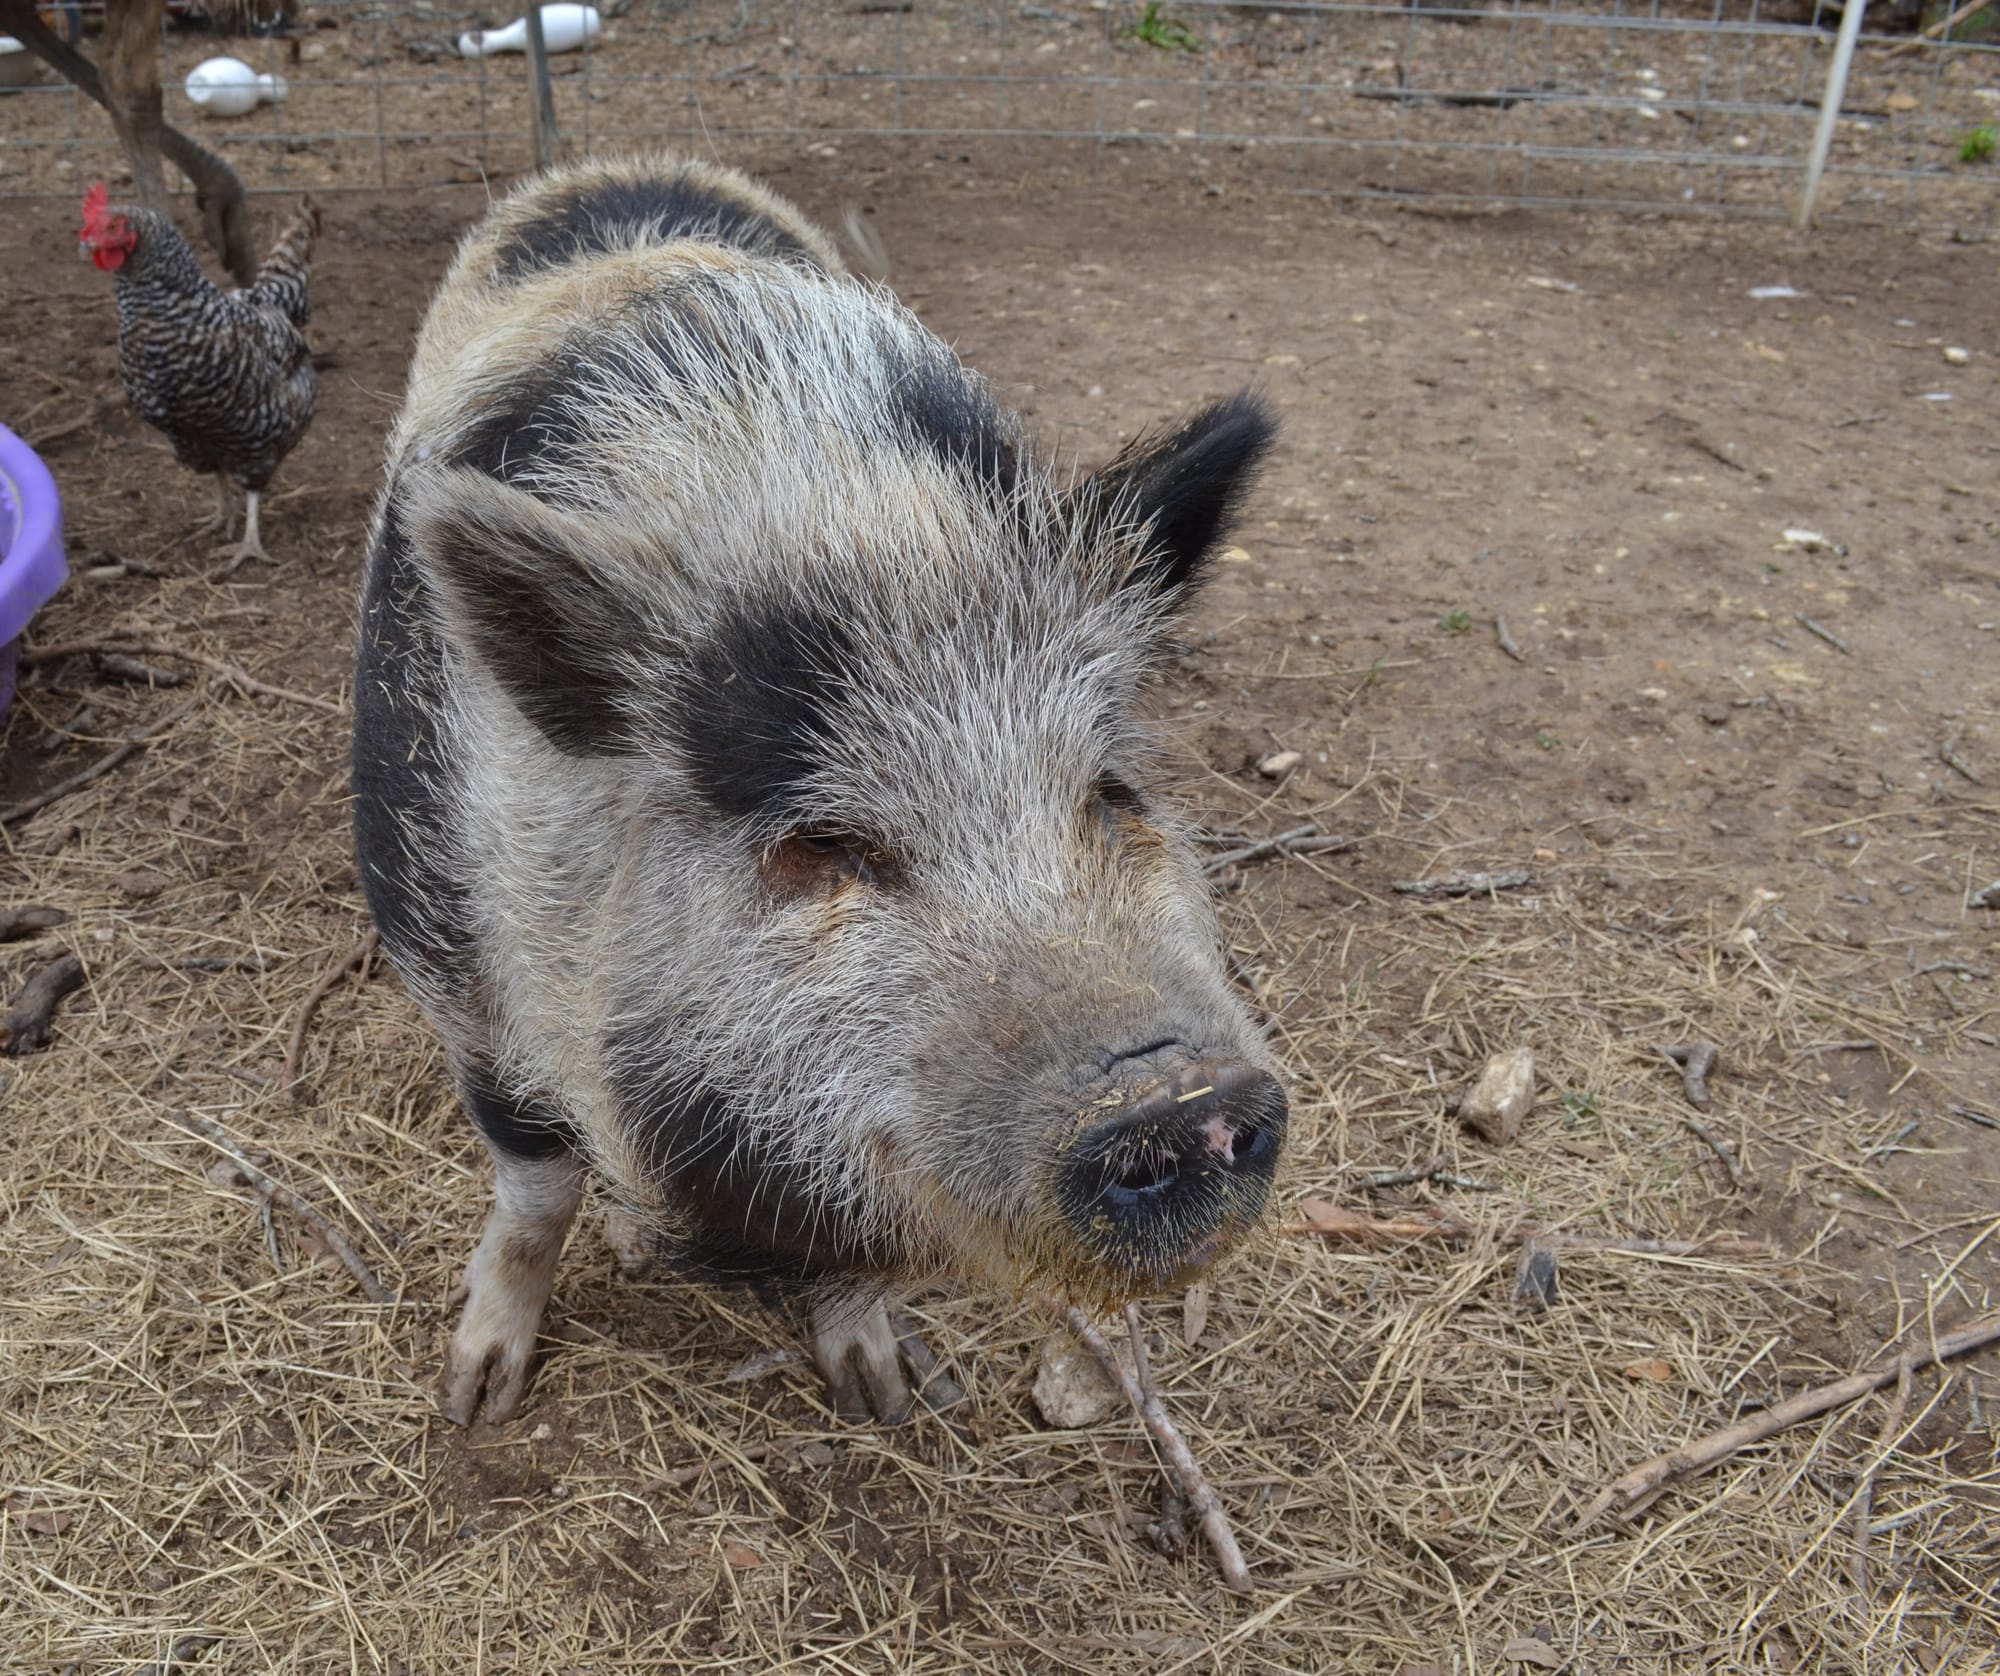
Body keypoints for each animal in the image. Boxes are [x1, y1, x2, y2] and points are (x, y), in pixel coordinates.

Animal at [351, 153, 1286, 1428]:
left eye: (1107, 790)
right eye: (821, 842)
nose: (1174, 1087)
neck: (834, 515)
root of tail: (619, 168)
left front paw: (895, 1393)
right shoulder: (454, 967)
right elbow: (534, 1188)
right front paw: (475, 1396)